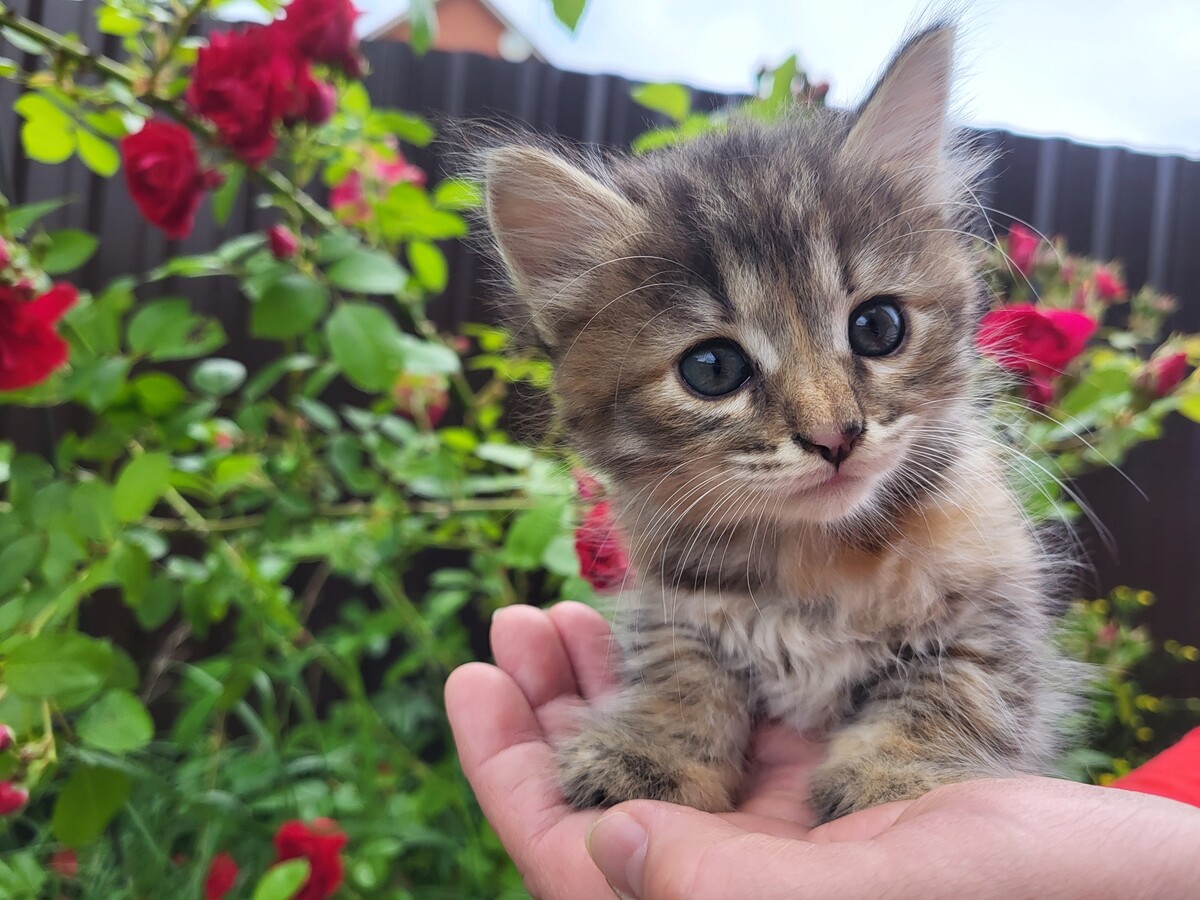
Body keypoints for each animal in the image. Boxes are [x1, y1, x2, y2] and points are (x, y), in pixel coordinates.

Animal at [477, 24, 1076, 822]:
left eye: (878, 326)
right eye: (712, 369)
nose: (835, 437)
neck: (815, 555)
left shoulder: (995, 606)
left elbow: (956, 689)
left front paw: (899, 775)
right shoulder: (672, 603)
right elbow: (679, 673)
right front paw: (651, 751)